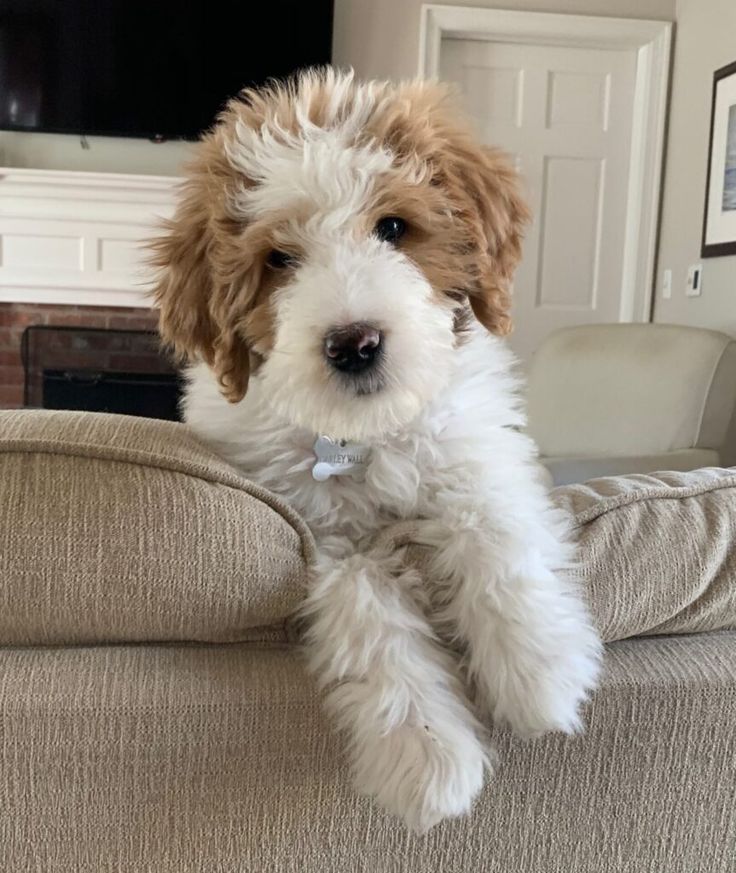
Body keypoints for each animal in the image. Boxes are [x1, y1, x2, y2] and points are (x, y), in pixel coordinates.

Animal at [151, 68, 604, 832]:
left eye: (394, 227)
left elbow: (492, 524)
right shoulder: (323, 542)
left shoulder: (476, 446)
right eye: (279, 260)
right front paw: (430, 758)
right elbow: (369, 611)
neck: (363, 434)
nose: (354, 343)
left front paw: (539, 671)